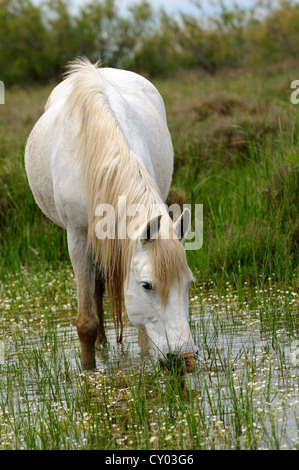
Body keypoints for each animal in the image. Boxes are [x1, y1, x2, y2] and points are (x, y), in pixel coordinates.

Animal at [25, 58, 199, 372]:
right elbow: (86, 323)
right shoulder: (77, 236)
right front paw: (89, 371)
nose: (185, 359)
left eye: (188, 283)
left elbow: (143, 334)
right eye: (147, 285)